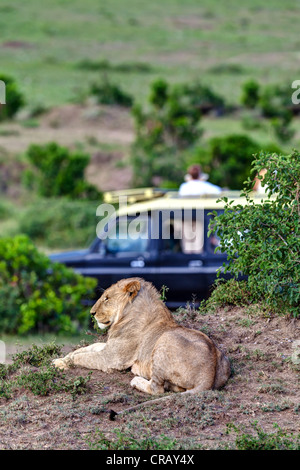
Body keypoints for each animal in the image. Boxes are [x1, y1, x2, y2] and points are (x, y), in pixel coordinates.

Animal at [53, 280, 230, 396]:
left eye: (107, 298)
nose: (92, 313)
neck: (125, 315)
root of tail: (208, 374)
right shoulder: (109, 347)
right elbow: (83, 349)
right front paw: (61, 358)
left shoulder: (111, 359)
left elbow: (82, 357)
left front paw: (62, 363)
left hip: (164, 340)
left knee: (157, 389)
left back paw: (136, 380)